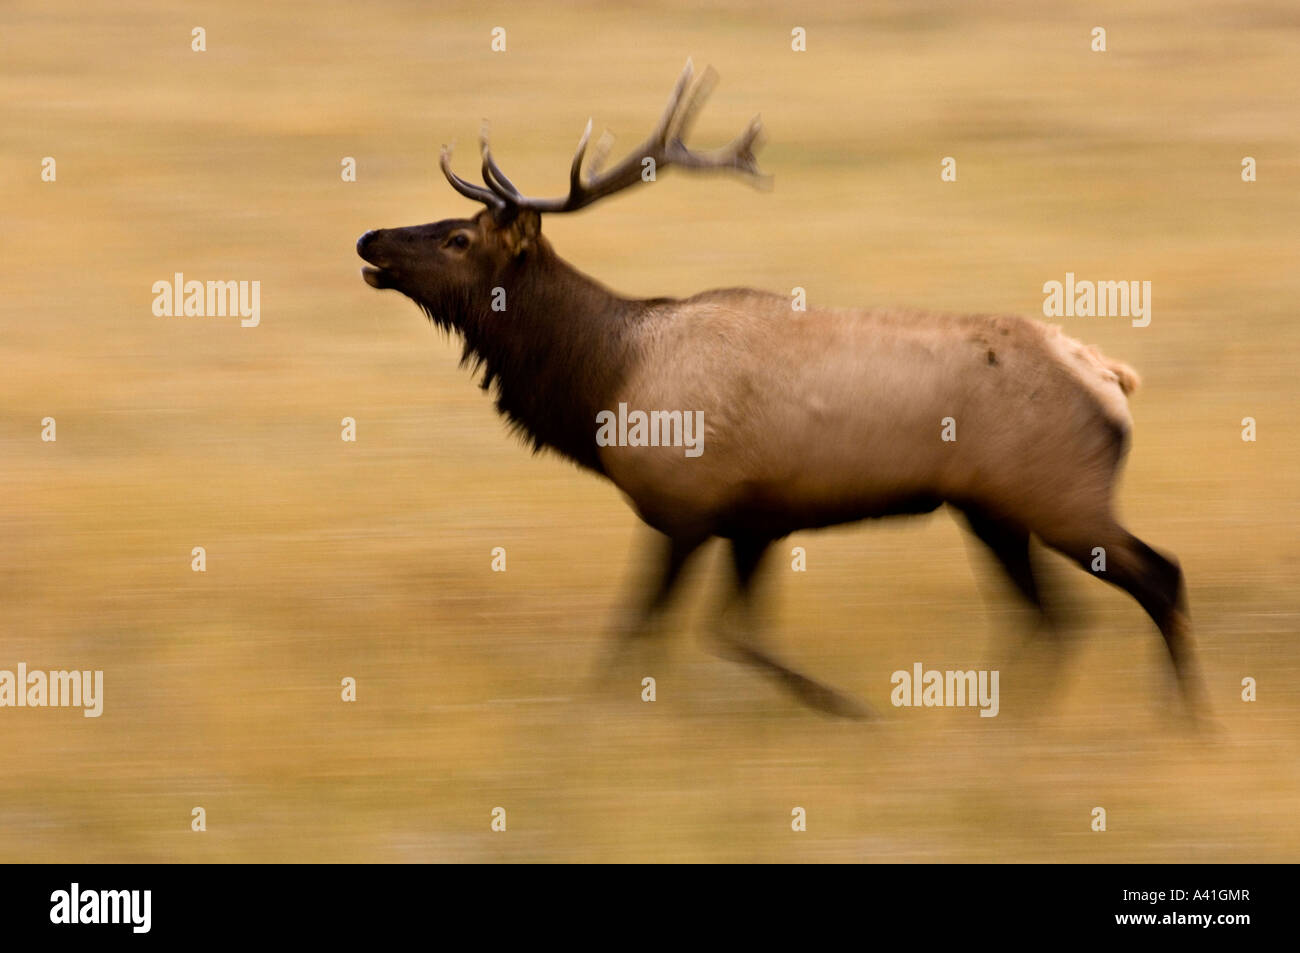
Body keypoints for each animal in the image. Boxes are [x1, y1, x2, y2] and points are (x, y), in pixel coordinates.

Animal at [356, 63, 1206, 717]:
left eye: (458, 238)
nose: (369, 238)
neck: (603, 380)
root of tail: (1110, 376)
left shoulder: (687, 507)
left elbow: (642, 627)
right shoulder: (752, 522)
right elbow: (732, 630)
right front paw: (841, 707)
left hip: (1058, 495)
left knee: (1158, 574)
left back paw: (1186, 722)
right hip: (995, 511)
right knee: (1056, 619)